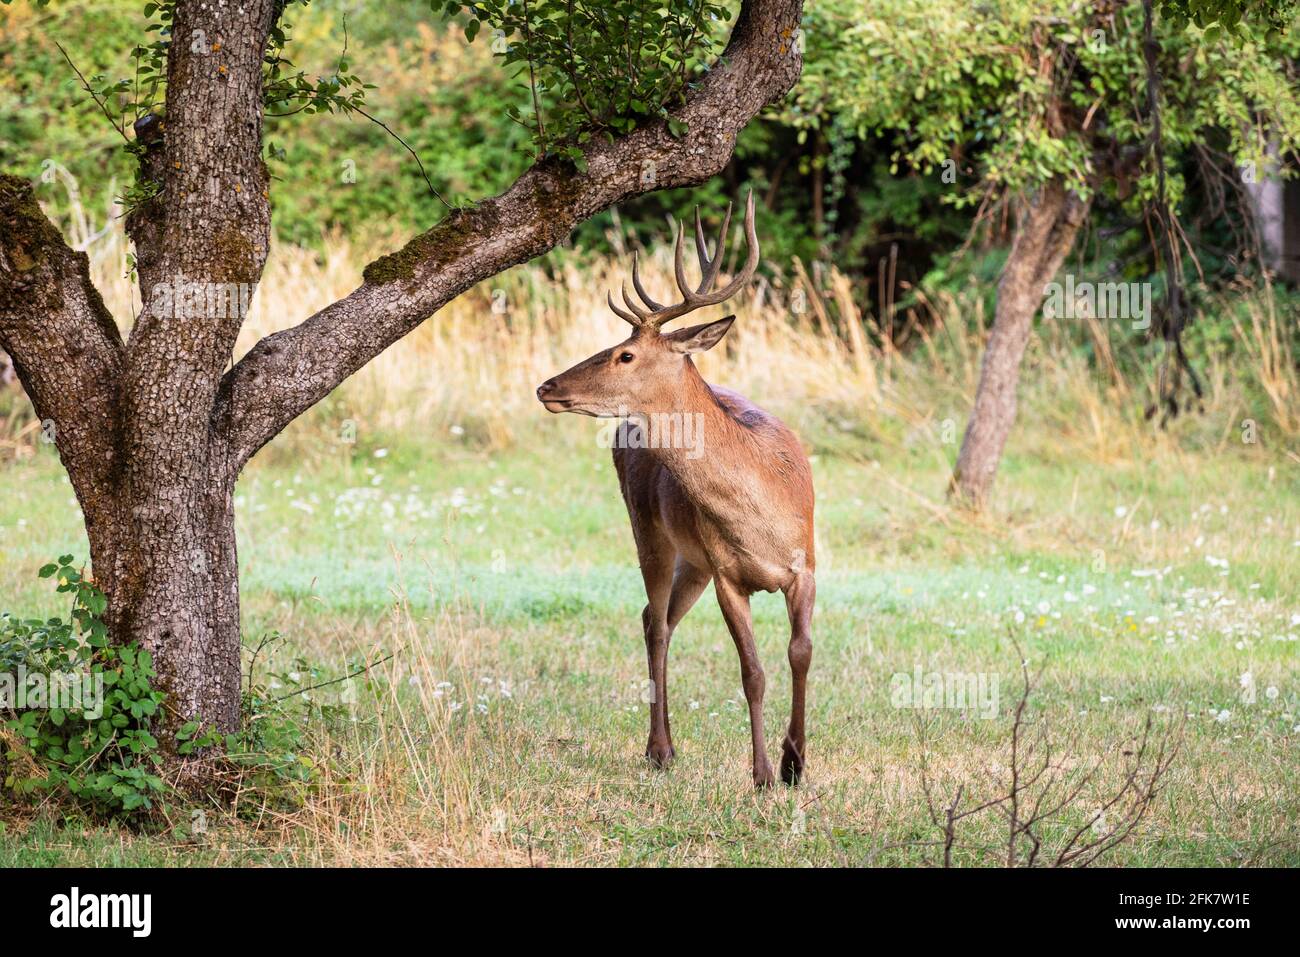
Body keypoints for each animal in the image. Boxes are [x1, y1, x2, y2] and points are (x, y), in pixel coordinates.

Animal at [538, 192, 811, 785]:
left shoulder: (806, 563)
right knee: (655, 622)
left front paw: (795, 761)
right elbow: (752, 672)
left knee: (657, 617)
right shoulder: (729, 574)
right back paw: (659, 748)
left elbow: (799, 652)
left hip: (694, 559)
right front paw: (761, 773)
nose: (545, 385)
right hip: (650, 532)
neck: (763, 514)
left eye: (625, 354)